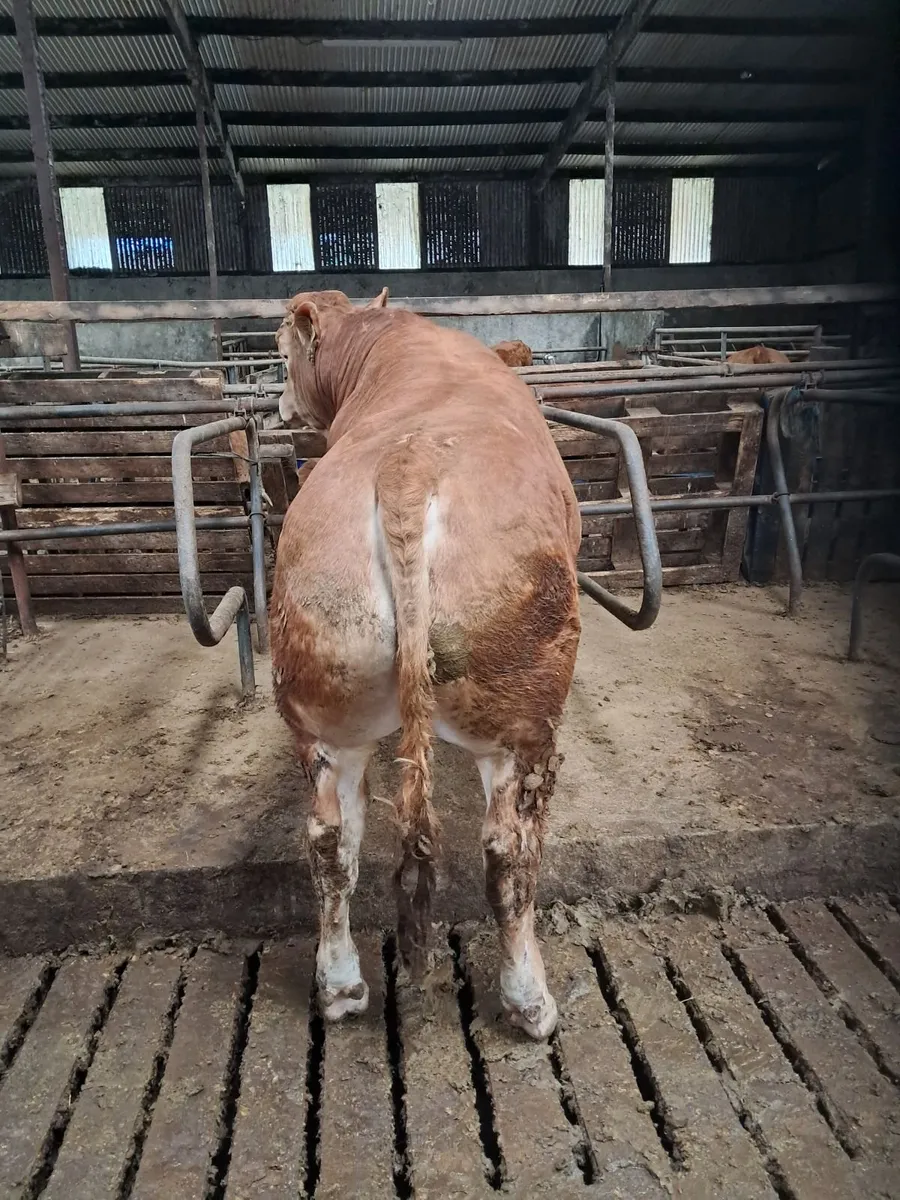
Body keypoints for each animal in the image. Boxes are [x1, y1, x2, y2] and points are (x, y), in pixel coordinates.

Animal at [271, 288, 581, 1040]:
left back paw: (340, 988)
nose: (280, 404)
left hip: (326, 695)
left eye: (280, 351)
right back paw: (531, 1002)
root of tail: (407, 470)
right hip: (523, 719)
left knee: (331, 840)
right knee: (510, 850)